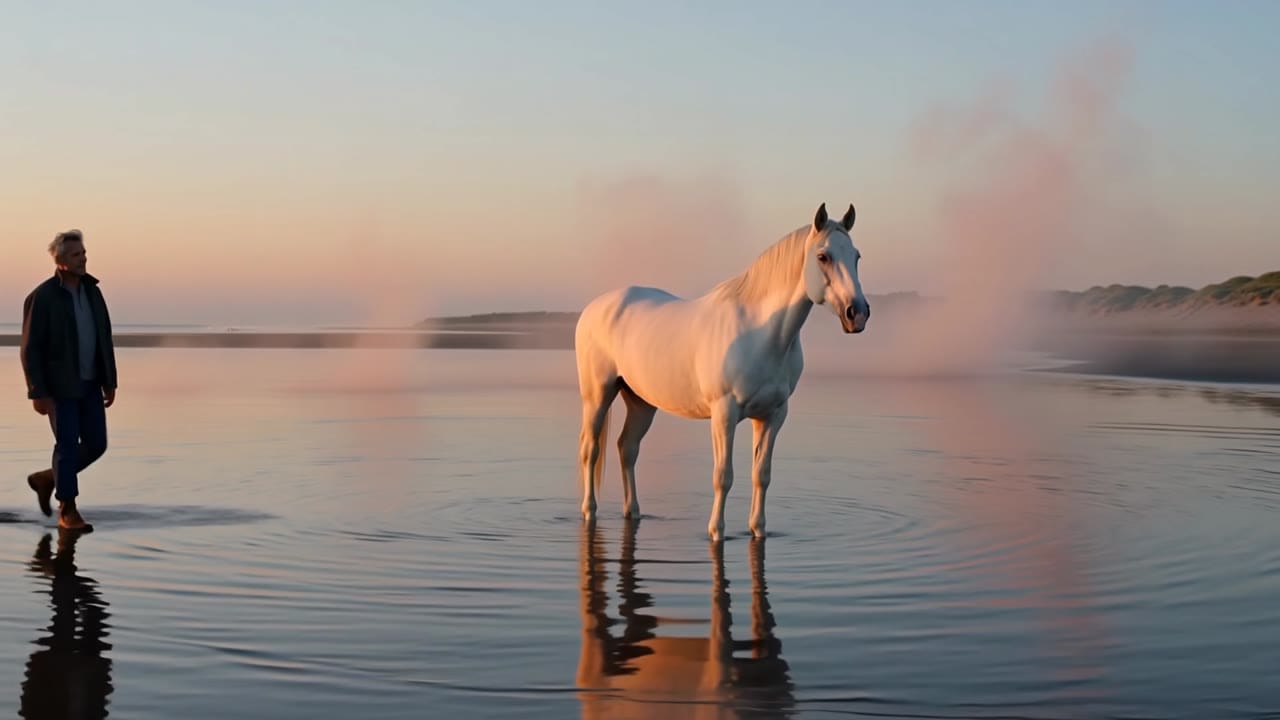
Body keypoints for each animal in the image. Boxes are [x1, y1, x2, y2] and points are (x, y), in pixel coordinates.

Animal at [573, 202, 870, 540]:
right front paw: (716, 531)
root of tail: (594, 308)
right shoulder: (724, 414)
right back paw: (589, 510)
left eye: (856, 256)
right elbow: (723, 476)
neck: (761, 332)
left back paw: (633, 511)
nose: (857, 313)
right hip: (598, 395)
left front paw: (758, 529)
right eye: (823, 256)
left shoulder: (773, 415)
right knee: (591, 450)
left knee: (628, 448)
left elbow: (761, 475)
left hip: (641, 402)